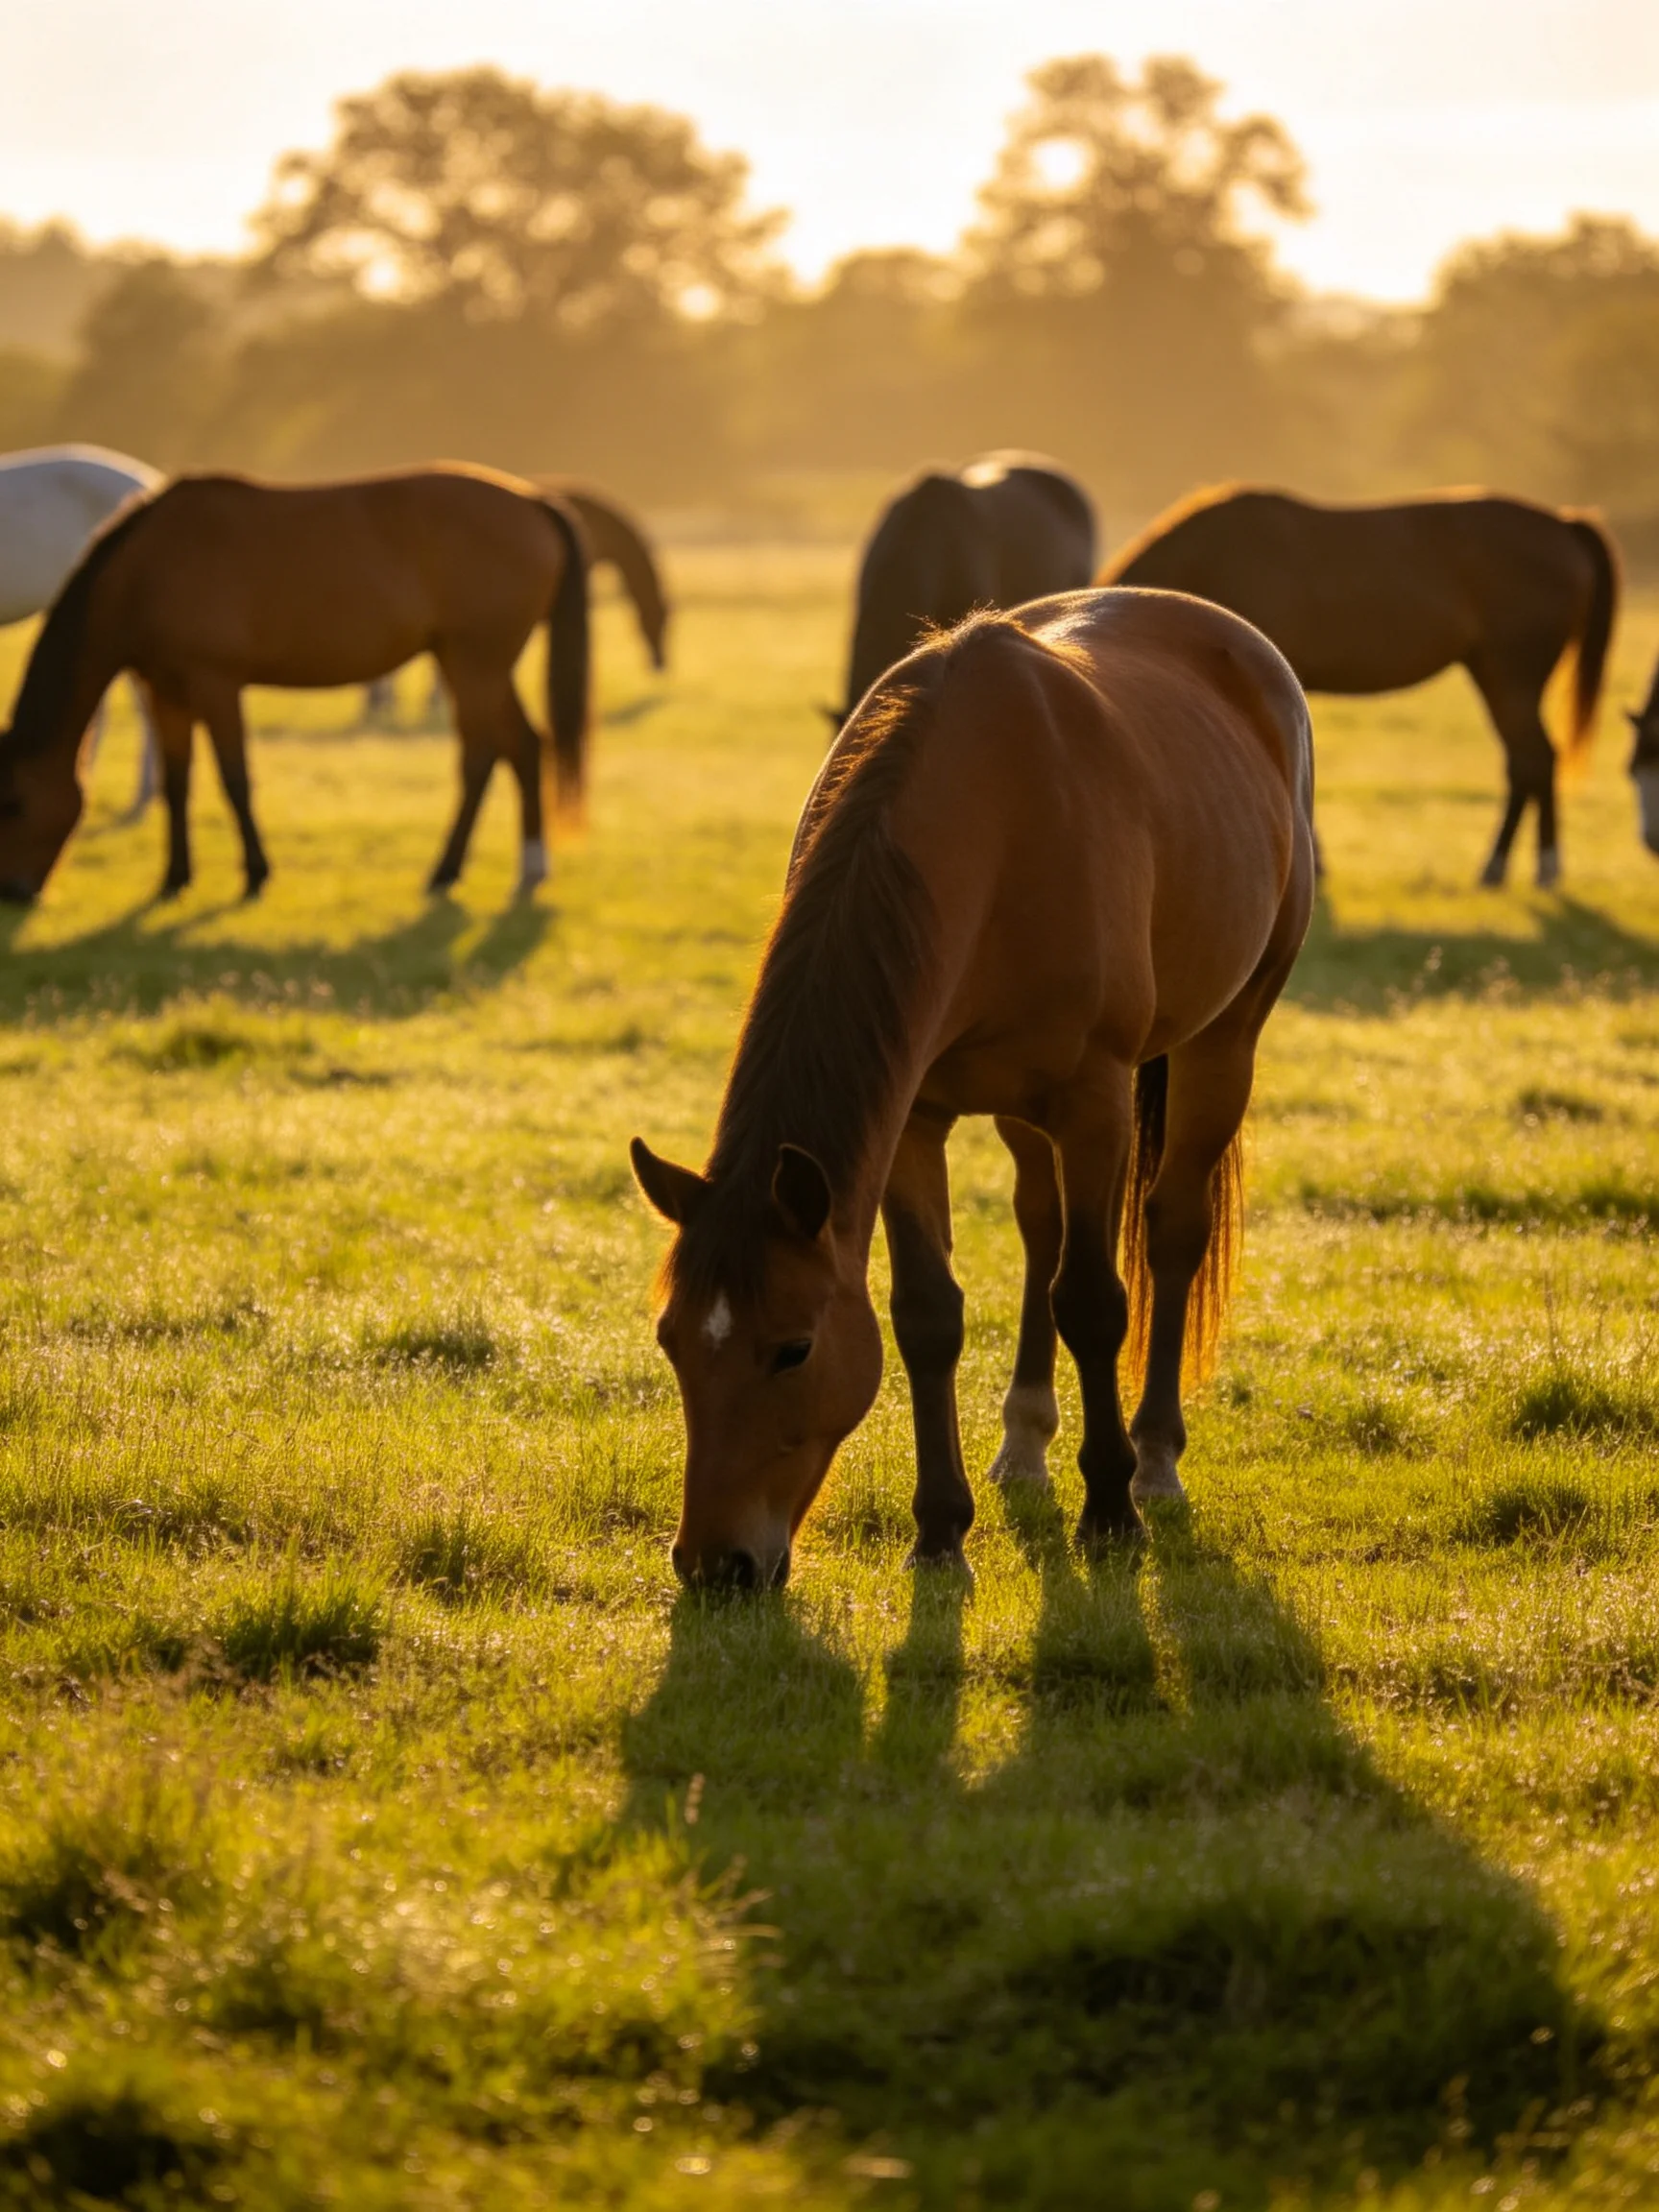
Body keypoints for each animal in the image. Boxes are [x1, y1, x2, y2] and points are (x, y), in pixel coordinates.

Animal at [632, 586, 1316, 1589]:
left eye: (793, 1350)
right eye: (672, 1340)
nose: (717, 1566)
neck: (994, 830)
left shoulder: (1096, 1100)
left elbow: (1094, 1302)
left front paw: (1110, 1513)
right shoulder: (914, 1118)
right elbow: (928, 1315)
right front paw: (940, 1532)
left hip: (1221, 1043)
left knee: (1170, 1229)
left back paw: (1154, 1459)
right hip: (1024, 1109)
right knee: (1042, 1228)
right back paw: (1026, 1441)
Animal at [1101, 485, 1619, 889]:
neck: (1212, 561)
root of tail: (1564, 524)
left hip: (1512, 676)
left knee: (1534, 758)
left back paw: (1519, 867)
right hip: (1495, 674)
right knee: (1528, 761)